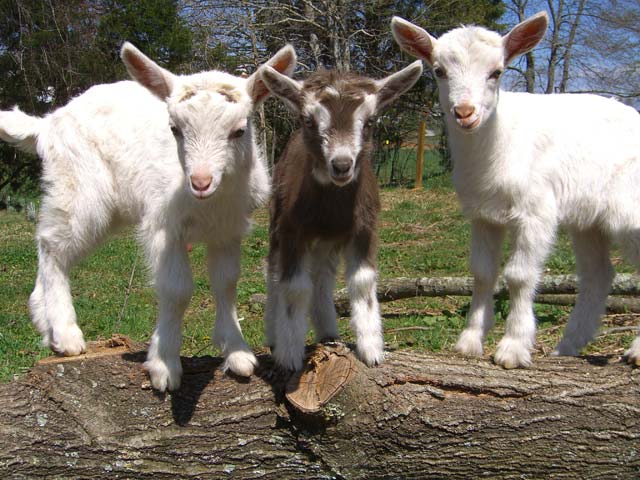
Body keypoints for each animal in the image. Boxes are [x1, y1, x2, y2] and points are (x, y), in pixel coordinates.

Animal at [258, 59, 422, 368]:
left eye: (370, 121)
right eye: (308, 120)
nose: (342, 165)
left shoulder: (365, 228)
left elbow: (362, 281)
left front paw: (372, 350)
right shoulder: (292, 229)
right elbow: (294, 286)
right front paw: (289, 355)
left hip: (328, 242)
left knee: (323, 278)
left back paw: (328, 333)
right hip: (276, 220)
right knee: (274, 271)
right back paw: (274, 335)